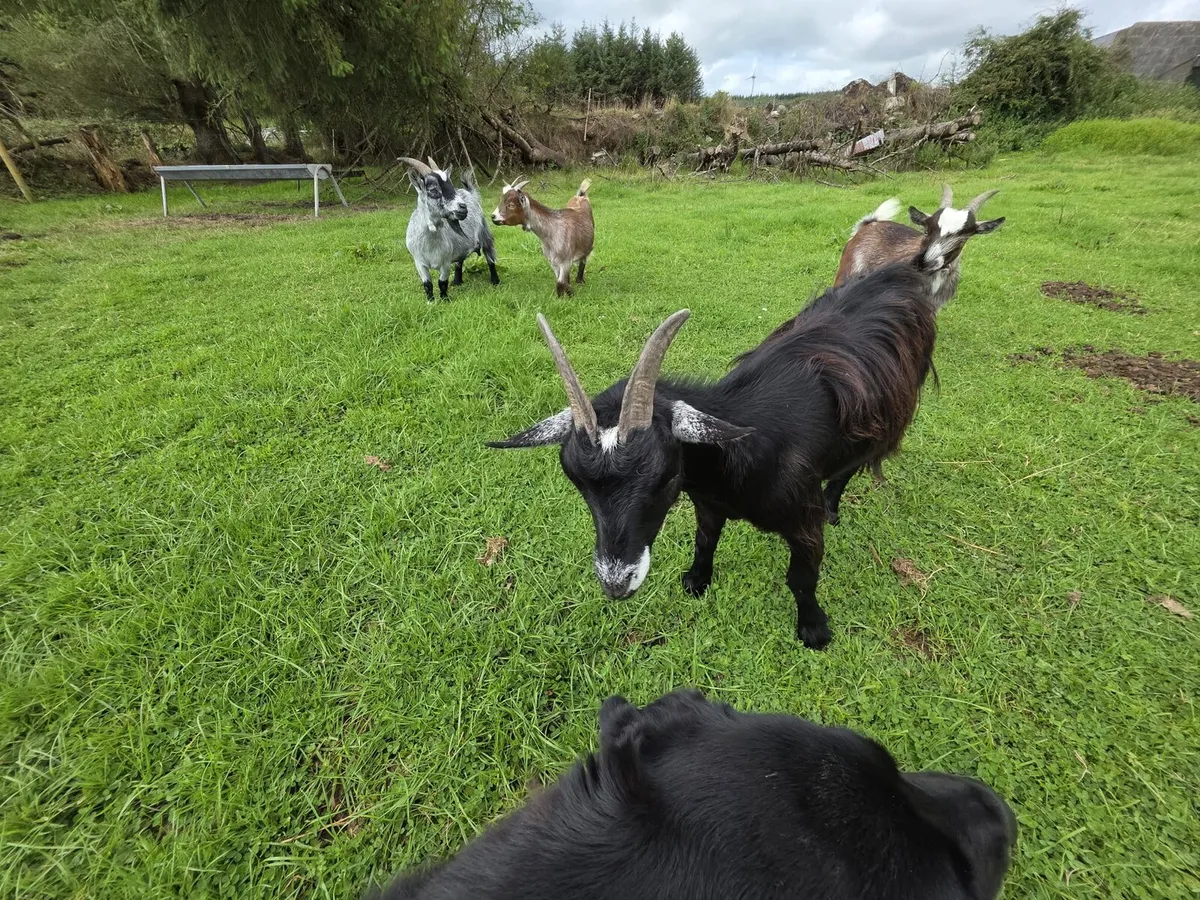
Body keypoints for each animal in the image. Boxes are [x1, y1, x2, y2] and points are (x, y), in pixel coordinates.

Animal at [400, 156, 499, 301]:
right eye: (433, 190)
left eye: (451, 186)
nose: (463, 207)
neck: (429, 243)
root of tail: (469, 193)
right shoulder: (419, 262)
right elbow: (427, 284)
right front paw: (430, 301)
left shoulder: (445, 262)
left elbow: (442, 282)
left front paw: (444, 299)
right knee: (459, 261)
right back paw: (457, 281)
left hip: (484, 232)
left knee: (490, 256)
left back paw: (495, 281)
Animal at [488, 251, 942, 649]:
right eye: (576, 481)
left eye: (664, 476)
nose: (616, 584)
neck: (741, 453)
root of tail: (905, 270)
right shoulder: (707, 501)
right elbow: (705, 540)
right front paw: (696, 581)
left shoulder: (803, 520)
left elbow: (802, 577)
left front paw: (814, 629)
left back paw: (835, 505)